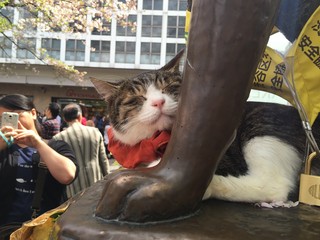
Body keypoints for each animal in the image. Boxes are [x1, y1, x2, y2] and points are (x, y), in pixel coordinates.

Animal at [90, 49, 320, 205]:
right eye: (137, 98)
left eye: (168, 88)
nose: (159, 102)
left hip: (262, 125)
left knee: (273, 185)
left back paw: (208, 186)